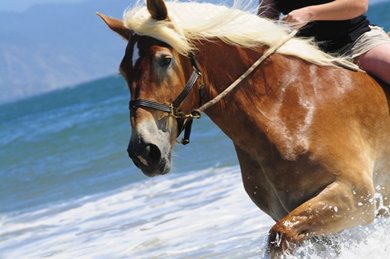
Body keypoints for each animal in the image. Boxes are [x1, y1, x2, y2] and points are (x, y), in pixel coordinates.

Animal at [97, 0, 390, 256]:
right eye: (123, 71)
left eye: (164, 60)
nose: (144, 152)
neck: (285, 111)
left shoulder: (355, 195)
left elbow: (279, 234)